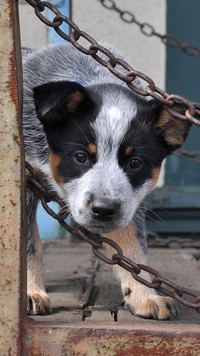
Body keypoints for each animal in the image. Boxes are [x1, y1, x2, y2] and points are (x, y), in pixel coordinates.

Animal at [22, 43, 190, 318]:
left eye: (135, 163)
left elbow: (134, 249)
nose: (103, 210)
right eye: (80, 156)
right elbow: (28, 244)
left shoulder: (129, 200)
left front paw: (145, 296)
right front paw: (31, 292)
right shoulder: (23, 178)